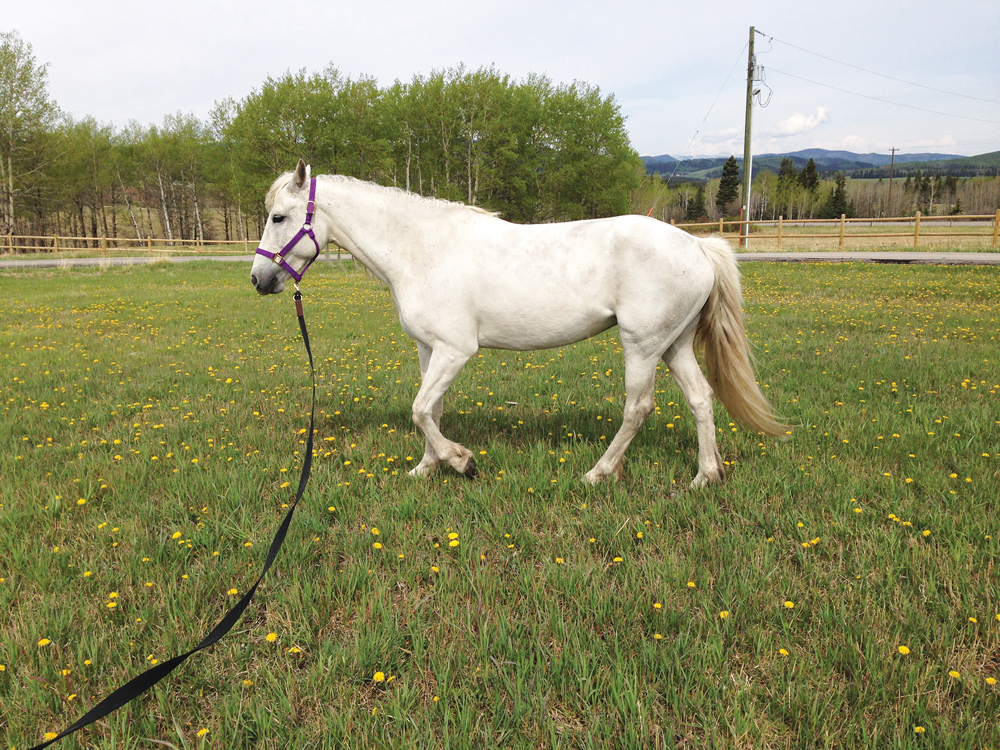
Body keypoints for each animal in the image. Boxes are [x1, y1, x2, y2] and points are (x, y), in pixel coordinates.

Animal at [250, 160, 784, 487]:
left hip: (643, 345)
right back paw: (704, 476)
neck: (421, 249)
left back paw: (598, 473)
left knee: (638, 408)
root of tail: (697, 246)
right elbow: (431, 409)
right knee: (700, 399)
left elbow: (420, 410)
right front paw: (426, 468)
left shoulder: (455, 350)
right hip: (673, 345)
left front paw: (461, 462)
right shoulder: (429, 349)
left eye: (279, 217)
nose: (259, 279)